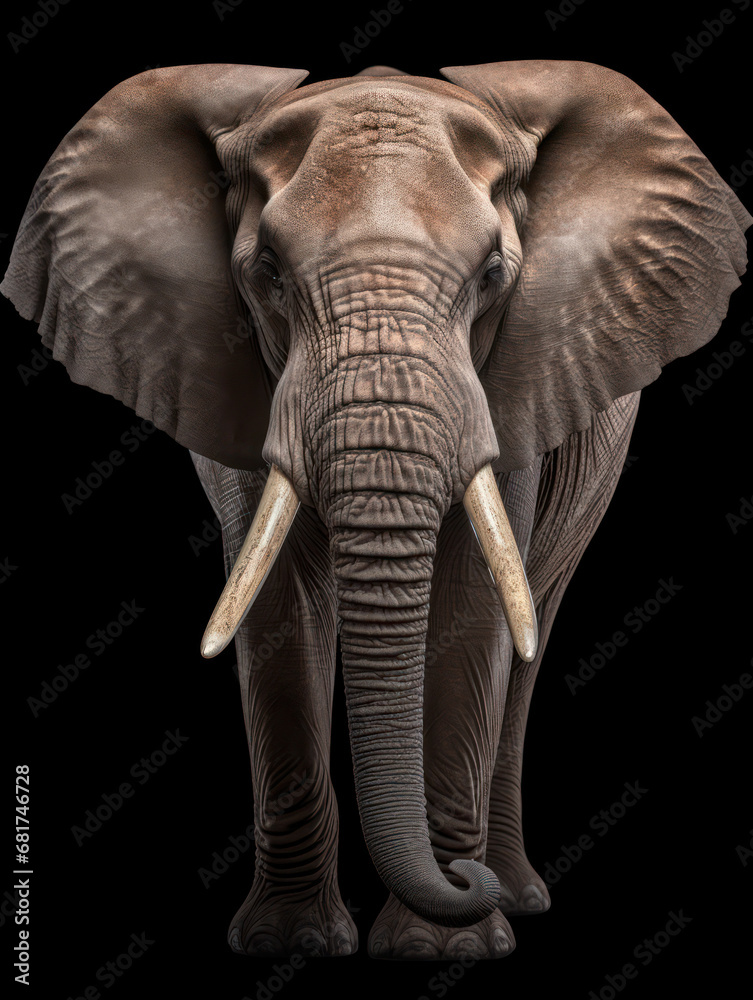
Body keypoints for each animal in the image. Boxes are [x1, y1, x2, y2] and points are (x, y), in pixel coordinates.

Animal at [2, 59, 749, 962]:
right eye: (267, 272)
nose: (460, 880)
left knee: (533, 622)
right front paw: (289, 942)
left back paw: (515, 893)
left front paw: (443, 947)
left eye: (493, 275)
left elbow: (469, 606)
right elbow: (277, 605)